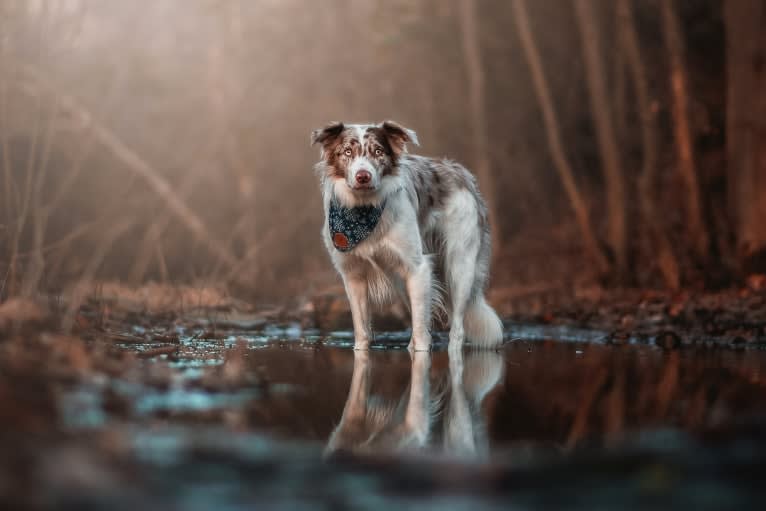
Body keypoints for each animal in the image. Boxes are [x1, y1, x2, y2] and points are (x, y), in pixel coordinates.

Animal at [312, 120, 504, 352]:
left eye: (378, 151)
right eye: (347, 152)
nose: (363, 176)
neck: (363, 209)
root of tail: (459, 172)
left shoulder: (418, 268)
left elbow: (422, 332)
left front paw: (422, 352)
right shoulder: (353, 275)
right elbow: (362, 329)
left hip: (460, 266)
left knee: (456, 328)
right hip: (403, 280)